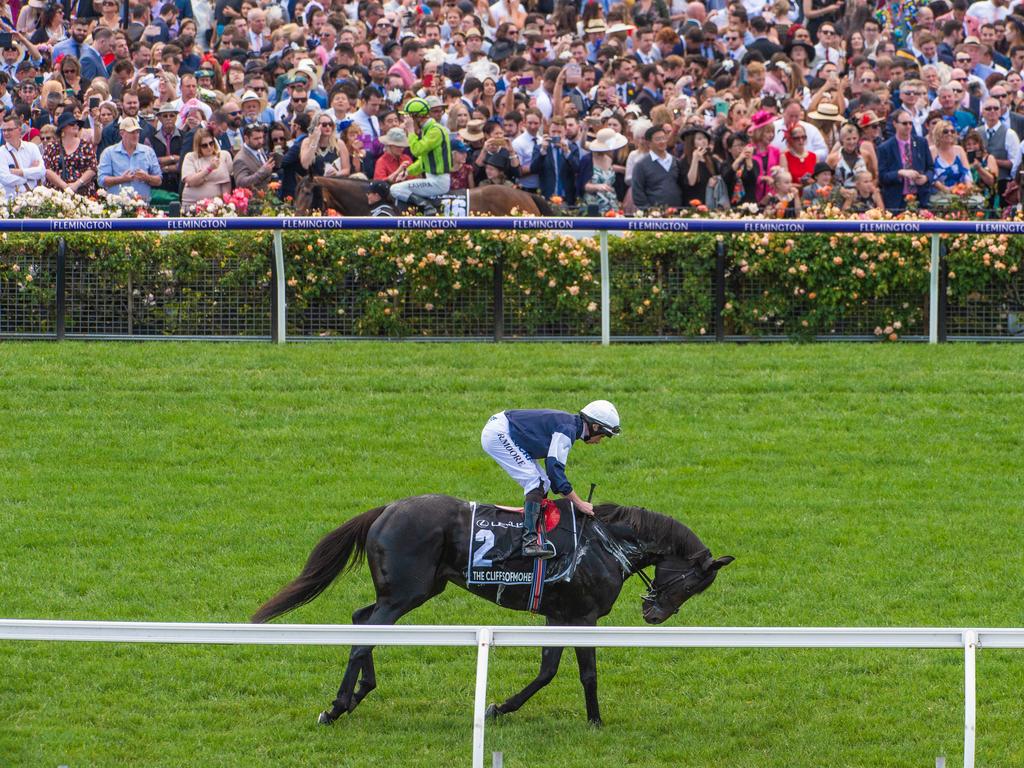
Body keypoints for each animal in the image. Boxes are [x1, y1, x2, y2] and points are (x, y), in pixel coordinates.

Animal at [251, 499, 733, 729]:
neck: (606, 542)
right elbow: (586, 671)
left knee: (358, 619)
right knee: (363, 638)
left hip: (407, 592)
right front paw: (596, 721)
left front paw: (499, 708)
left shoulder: (559, 615)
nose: (654, 614)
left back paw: (357, 695)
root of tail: (387, 509)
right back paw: (335, 708)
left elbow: (548, 670)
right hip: (404, 594)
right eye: (691, 584)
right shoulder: (583, 616)